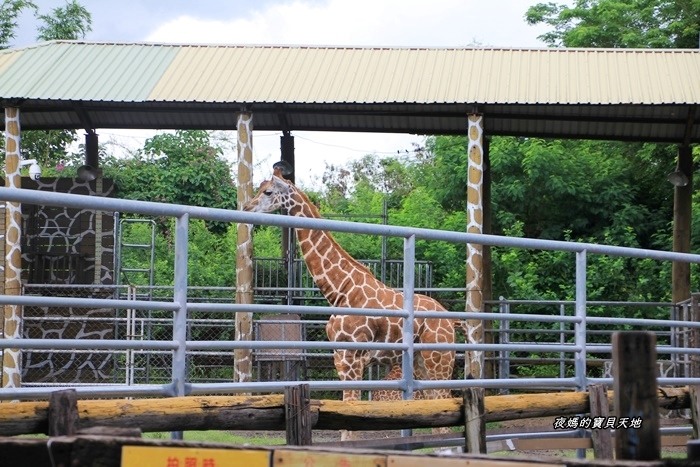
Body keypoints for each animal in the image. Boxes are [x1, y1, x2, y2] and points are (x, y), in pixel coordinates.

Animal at [243, 164, 456, 438]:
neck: (339, 290)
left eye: (268, 191)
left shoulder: (353, 357)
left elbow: (350, 414)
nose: (247, 207)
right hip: (421, 363)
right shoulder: (340, 356)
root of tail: (451, 321)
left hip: (440, 358)